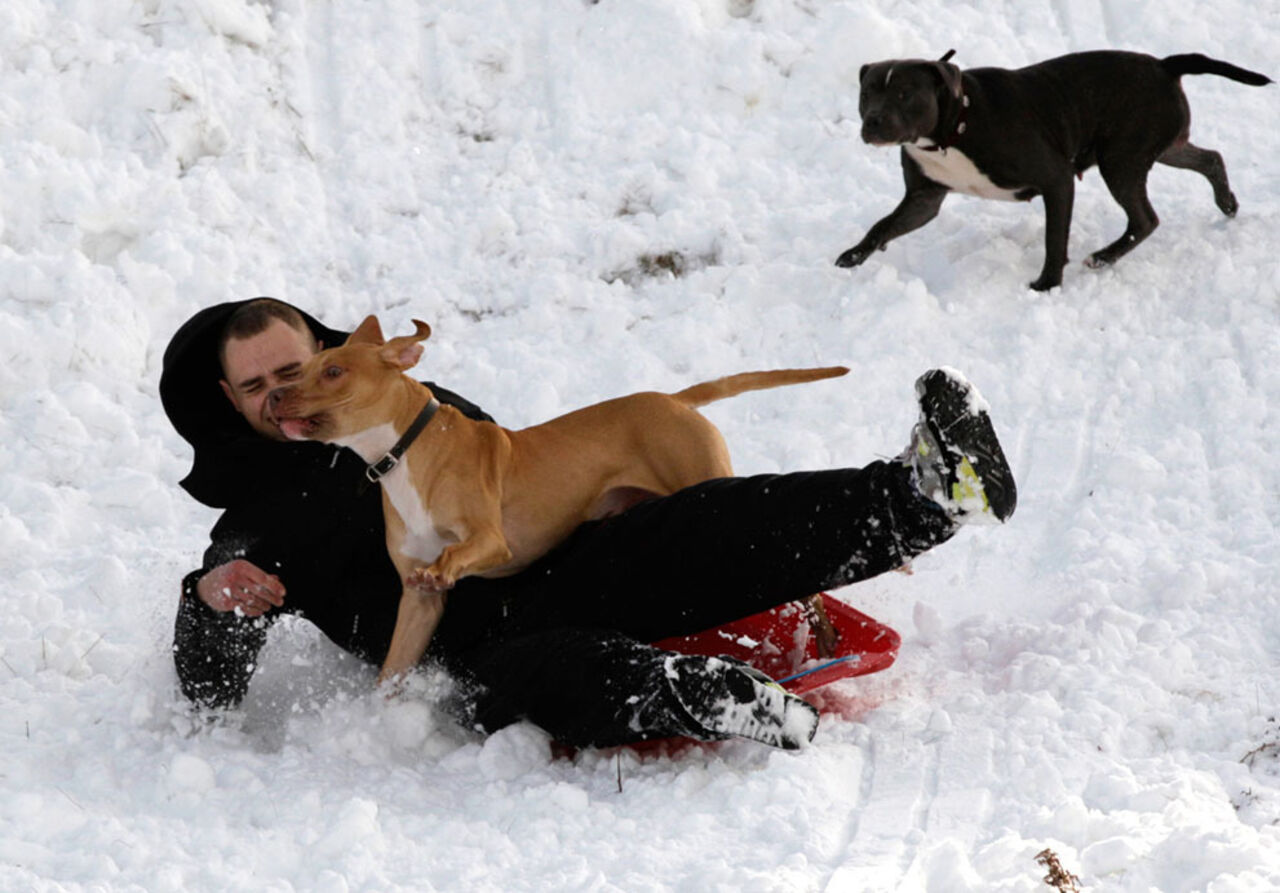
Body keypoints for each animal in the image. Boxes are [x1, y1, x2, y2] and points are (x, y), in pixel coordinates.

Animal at [270, 316, 849, 685]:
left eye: (334, 371)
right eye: (301, 369)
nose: (275, 395)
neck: (405, 451)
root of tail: (675, 400)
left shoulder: (491, 541)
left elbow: (457, 553)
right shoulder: (417, 602)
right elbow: (394, 666)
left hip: (705, 479)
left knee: (806, 587)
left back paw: (823, 637)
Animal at [839, 50, 1269, 289]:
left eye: (904, 93)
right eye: (866, 93)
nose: (873, 121)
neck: (954, 126)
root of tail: (1165, 66)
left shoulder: (1056, 179)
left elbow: (1053, 239)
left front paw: (1047, 286)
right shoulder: (923, 199)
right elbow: (882, 226)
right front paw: (853, 257)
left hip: (1121, 161)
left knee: (1145, 220)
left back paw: (1103, 257)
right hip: (1158, 147)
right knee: (1210, 157)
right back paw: (1227, 203)